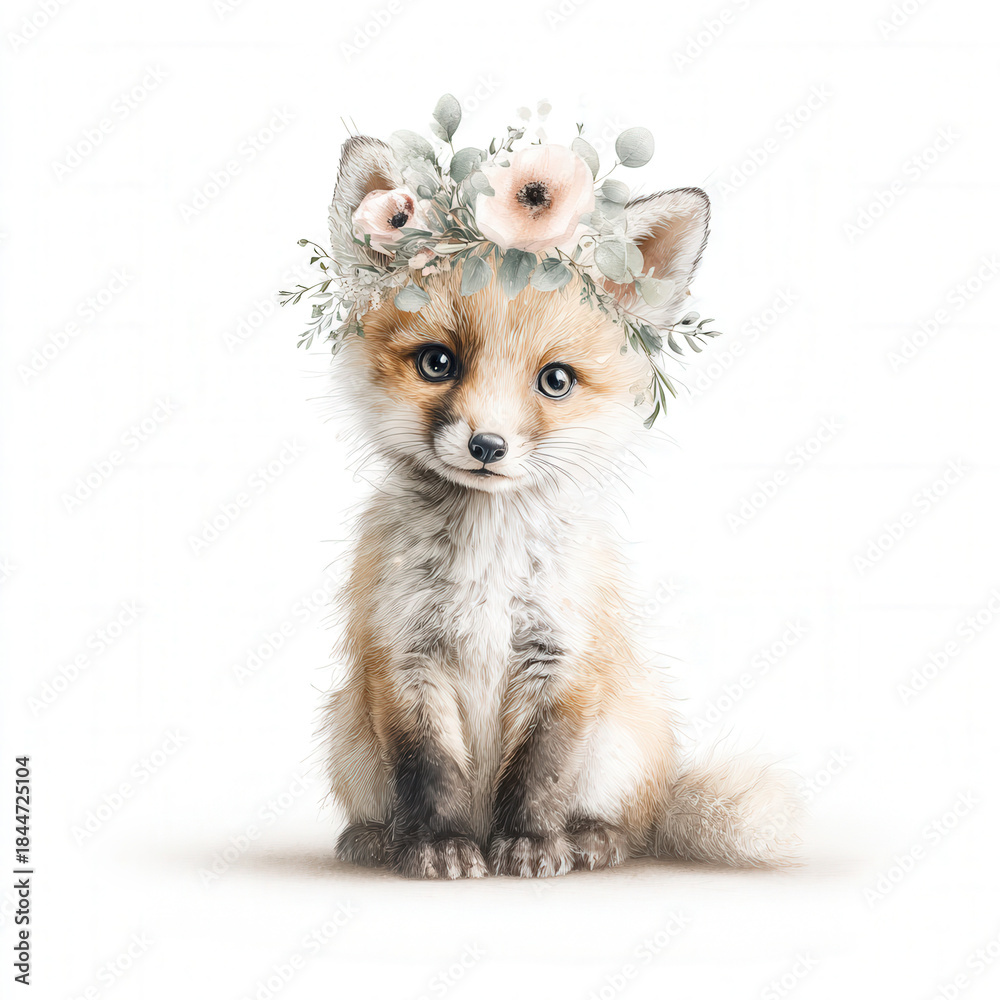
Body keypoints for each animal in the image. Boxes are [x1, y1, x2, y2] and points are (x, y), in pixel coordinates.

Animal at [319, 135, 801, 879]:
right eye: (436, 363)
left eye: (555, 380)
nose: (487, 445)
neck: (487, 565)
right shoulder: (404, 657)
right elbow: (428, 772)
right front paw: (438, 846)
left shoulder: (563, 658)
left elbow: (540, 770)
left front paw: (532, 845)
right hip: (348, 738)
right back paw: (376, 839)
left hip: (623, 738)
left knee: (634, 821)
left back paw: (593, 839)